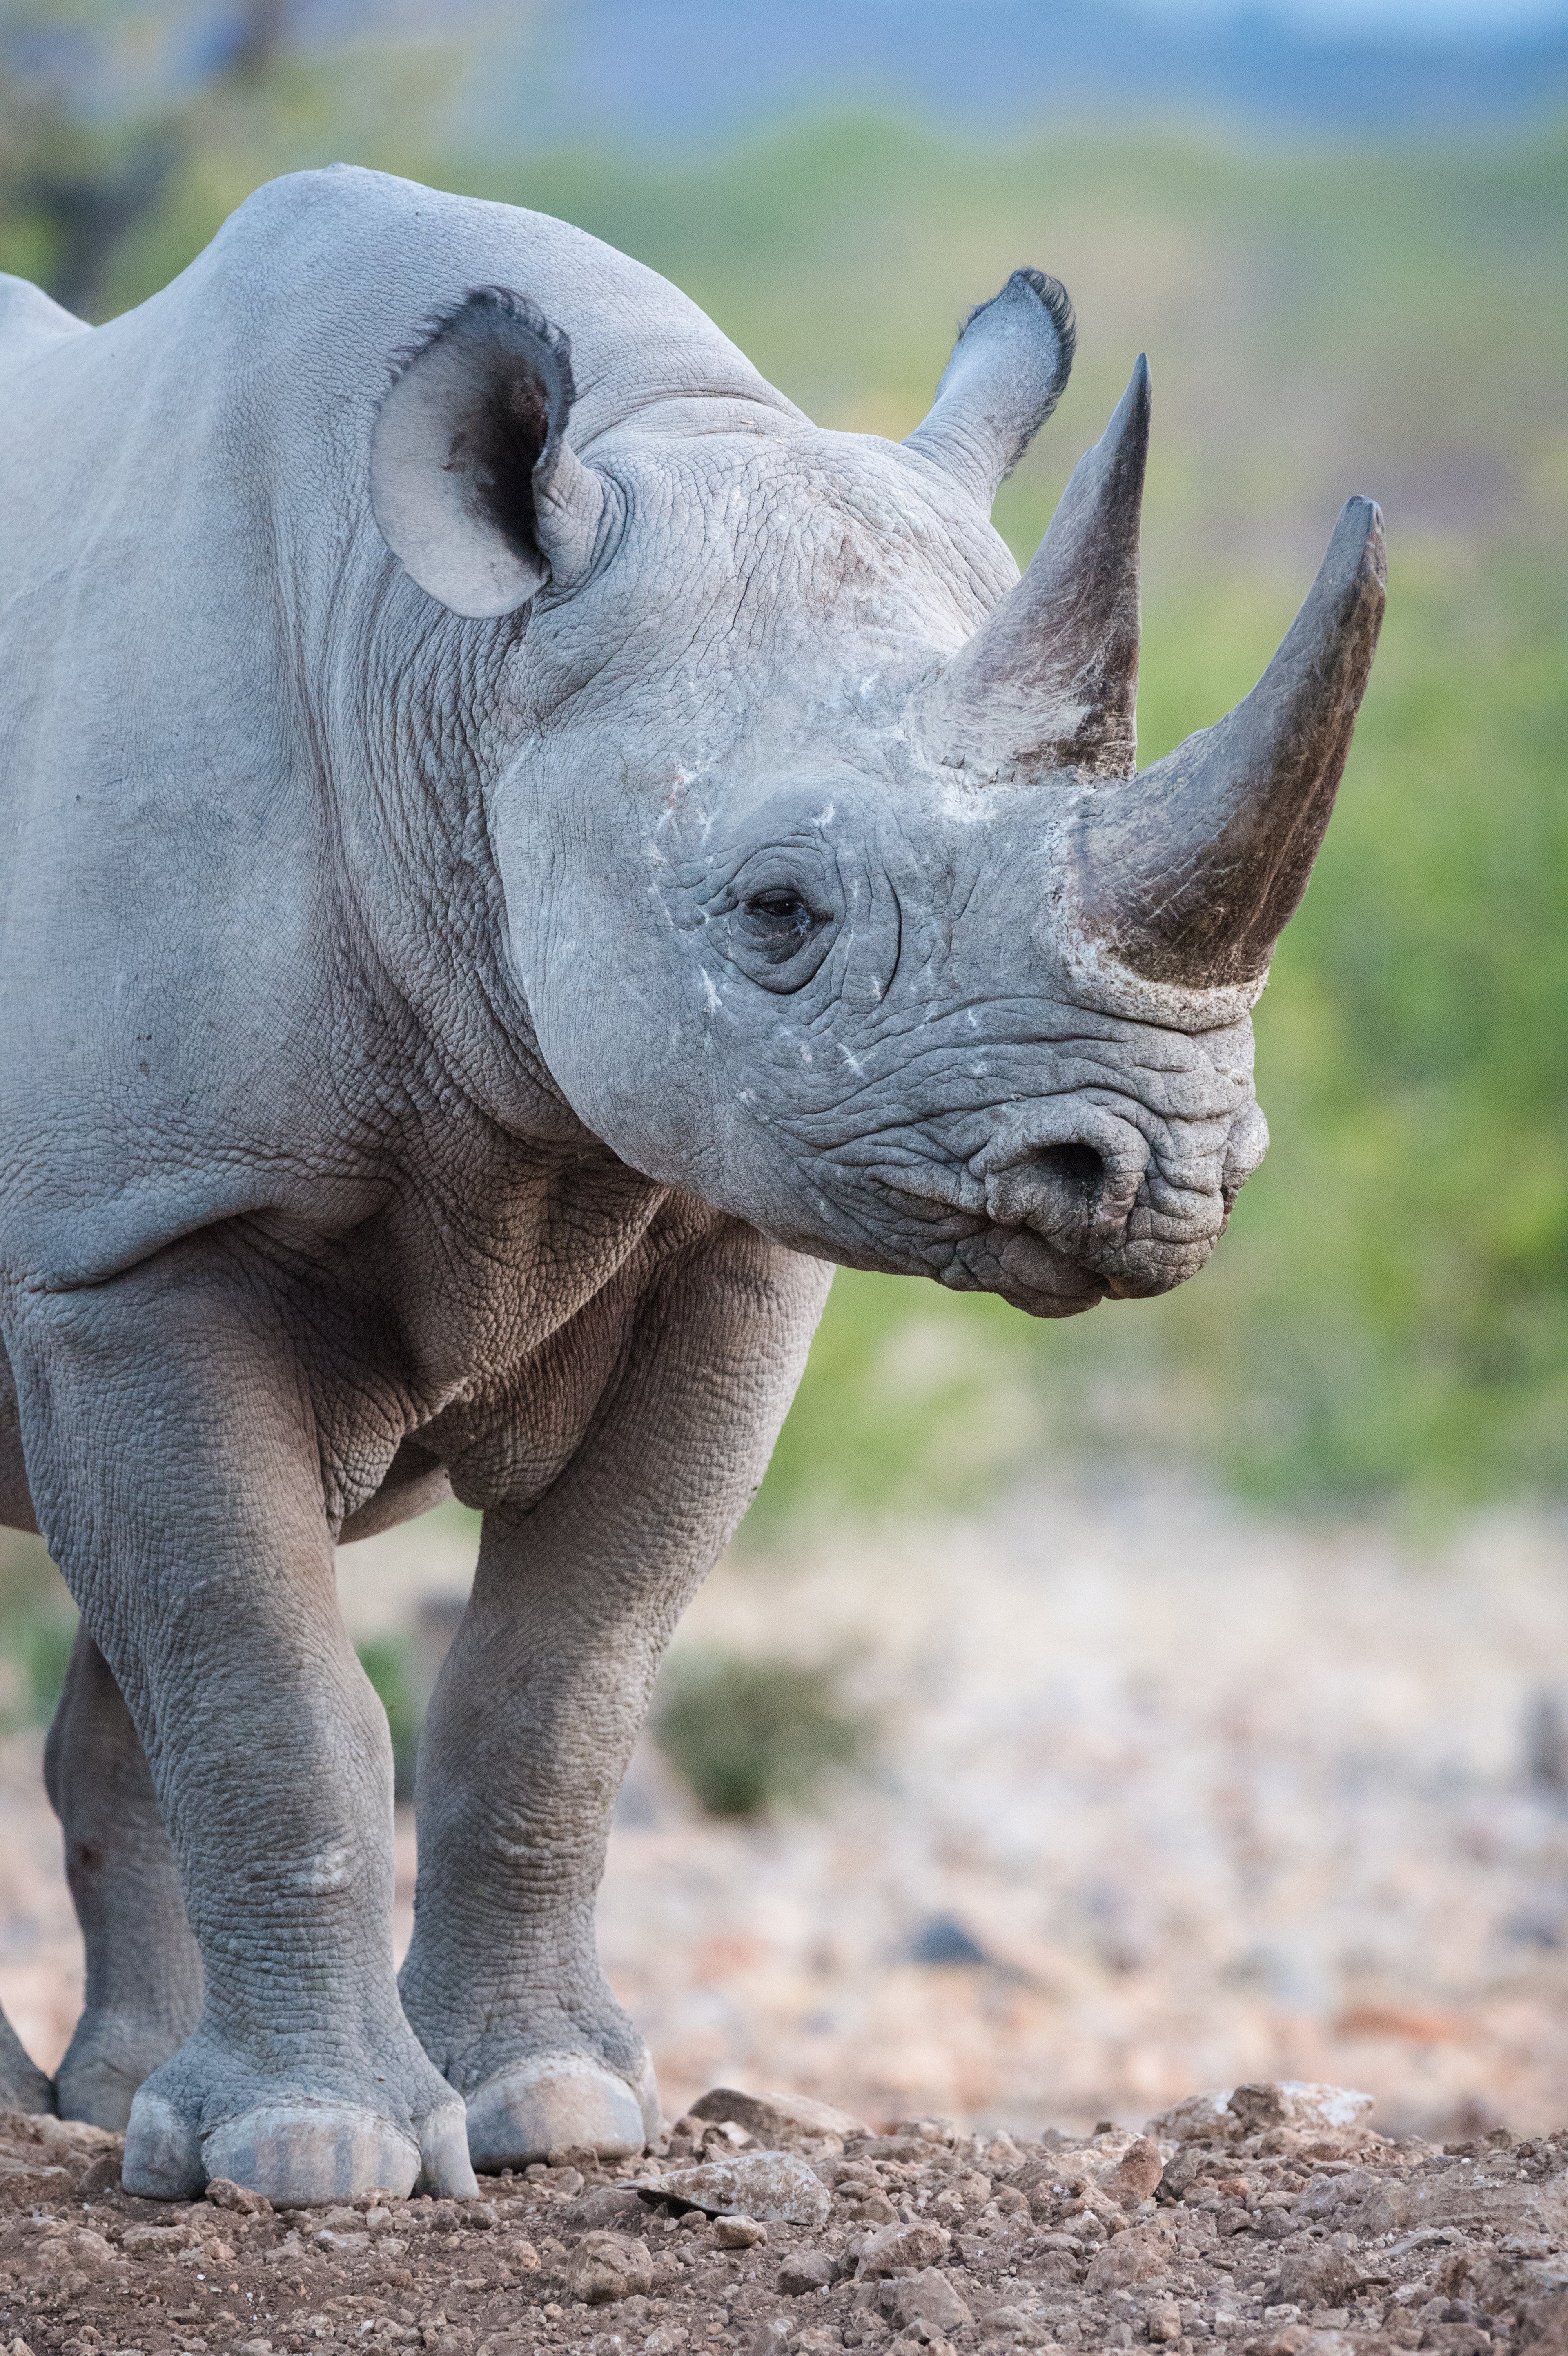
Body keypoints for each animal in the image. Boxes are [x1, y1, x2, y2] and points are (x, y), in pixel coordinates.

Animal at [0, 166, 1382, 2202]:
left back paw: (113, 2114)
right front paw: (316, 2157)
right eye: (778, 909)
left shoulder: (716, 1238)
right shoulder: (144, 1235)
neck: (456, 669)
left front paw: (546, 2112)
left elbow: (559, 1686)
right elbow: (264, 1677)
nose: (1158, 1167)